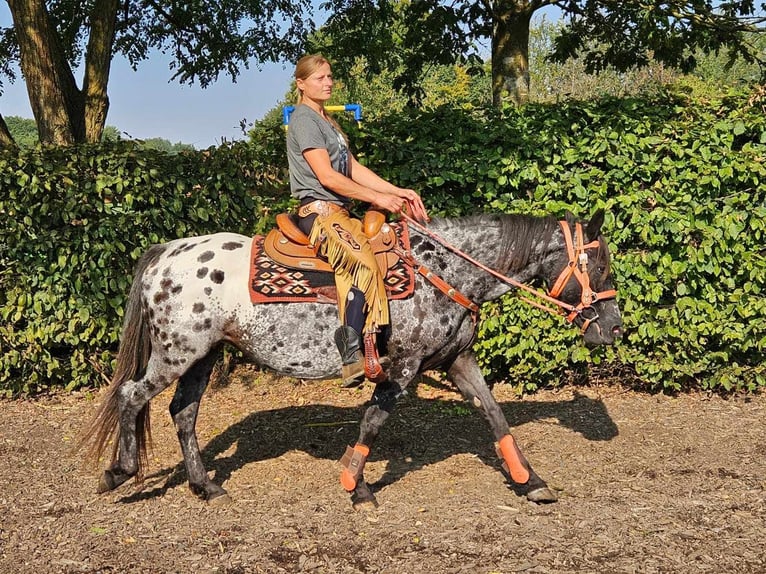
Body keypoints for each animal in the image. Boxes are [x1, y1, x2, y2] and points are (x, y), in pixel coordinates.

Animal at [82, 209, 624, 510]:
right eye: (599, 265)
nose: (614, 328)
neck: (443, 270)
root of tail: (165, 253)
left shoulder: (457, 361)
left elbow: (495, 415)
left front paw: (532, 482)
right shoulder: (402, 367)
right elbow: (373, 421)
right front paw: (356, 485)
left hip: (203, 356)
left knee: (184, 413)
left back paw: (205, 486)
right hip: (176, 354)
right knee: (131, 396)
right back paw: (119, 472)